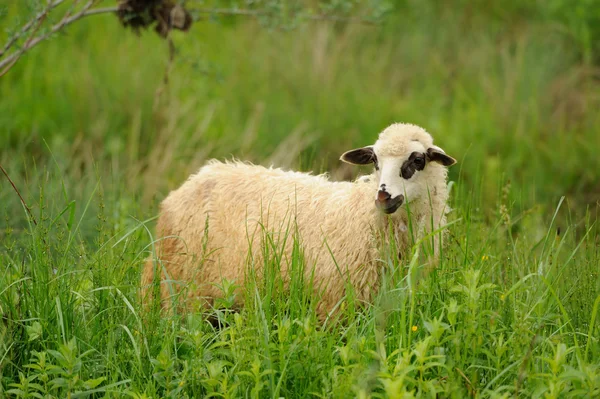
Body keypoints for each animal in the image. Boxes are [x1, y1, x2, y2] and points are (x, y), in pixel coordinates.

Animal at [141, 123, 458, 320]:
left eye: (417, 161)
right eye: (375, 162)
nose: (383, 197)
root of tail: (193, 181)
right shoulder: (333, 305)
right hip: (180, 287)